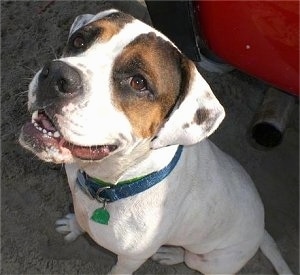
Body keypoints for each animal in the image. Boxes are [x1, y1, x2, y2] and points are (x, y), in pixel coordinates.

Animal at [18, 9, 290, 275]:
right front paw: (74, 226)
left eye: (138, 82)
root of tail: (262, 229)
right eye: (79, 41)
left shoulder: (131, 259)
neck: (108, 185)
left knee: (190, 258)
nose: (56, 74)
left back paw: (171, 254)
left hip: (210, 261)